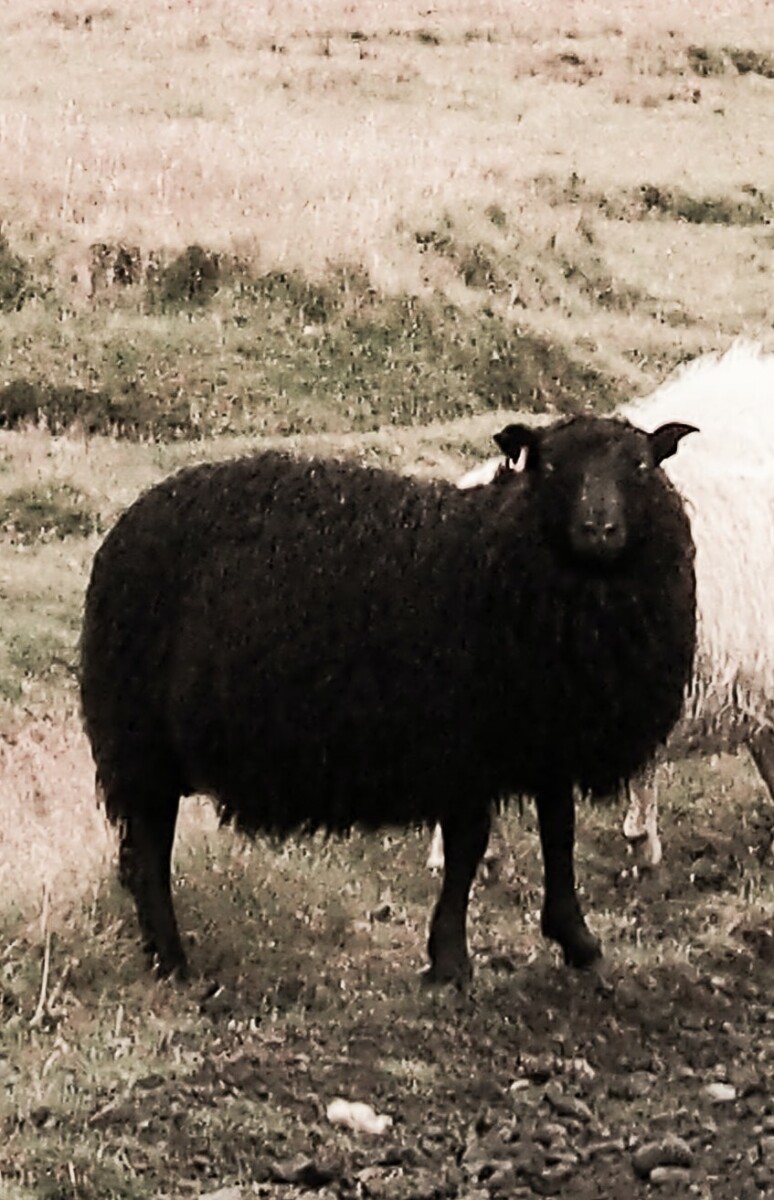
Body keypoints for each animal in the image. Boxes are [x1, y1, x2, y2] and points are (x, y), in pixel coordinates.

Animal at [80, 414, 697, 986]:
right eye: (549, 467)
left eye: (641, 465)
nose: (600, 529)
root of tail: (127, 525)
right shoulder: (463, 744)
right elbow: (468, 847)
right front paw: (450, 959)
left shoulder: (545, 736)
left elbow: (559, 832)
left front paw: (576, 938)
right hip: (138, 739)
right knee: (147, 854)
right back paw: (172, 962)